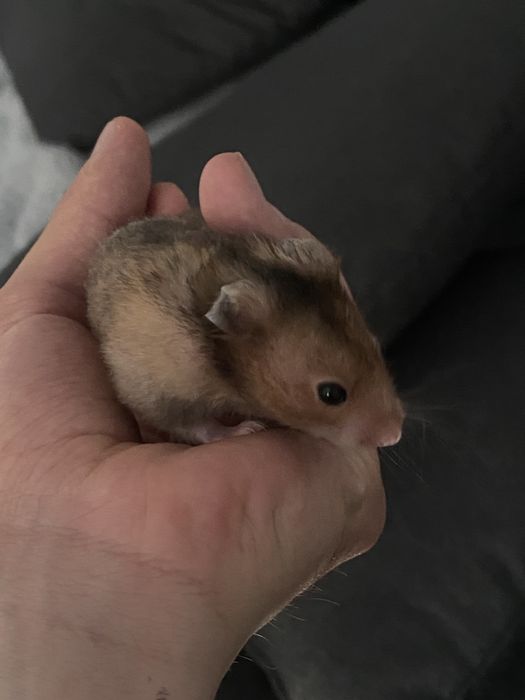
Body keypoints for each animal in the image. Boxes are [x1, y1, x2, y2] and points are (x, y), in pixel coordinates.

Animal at [86, 209, 404, 448]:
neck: (230, 365)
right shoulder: (165, 394)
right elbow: (198, 427)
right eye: (331, 394)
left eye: (376, 346)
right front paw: (249, 429)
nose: (394, 435)